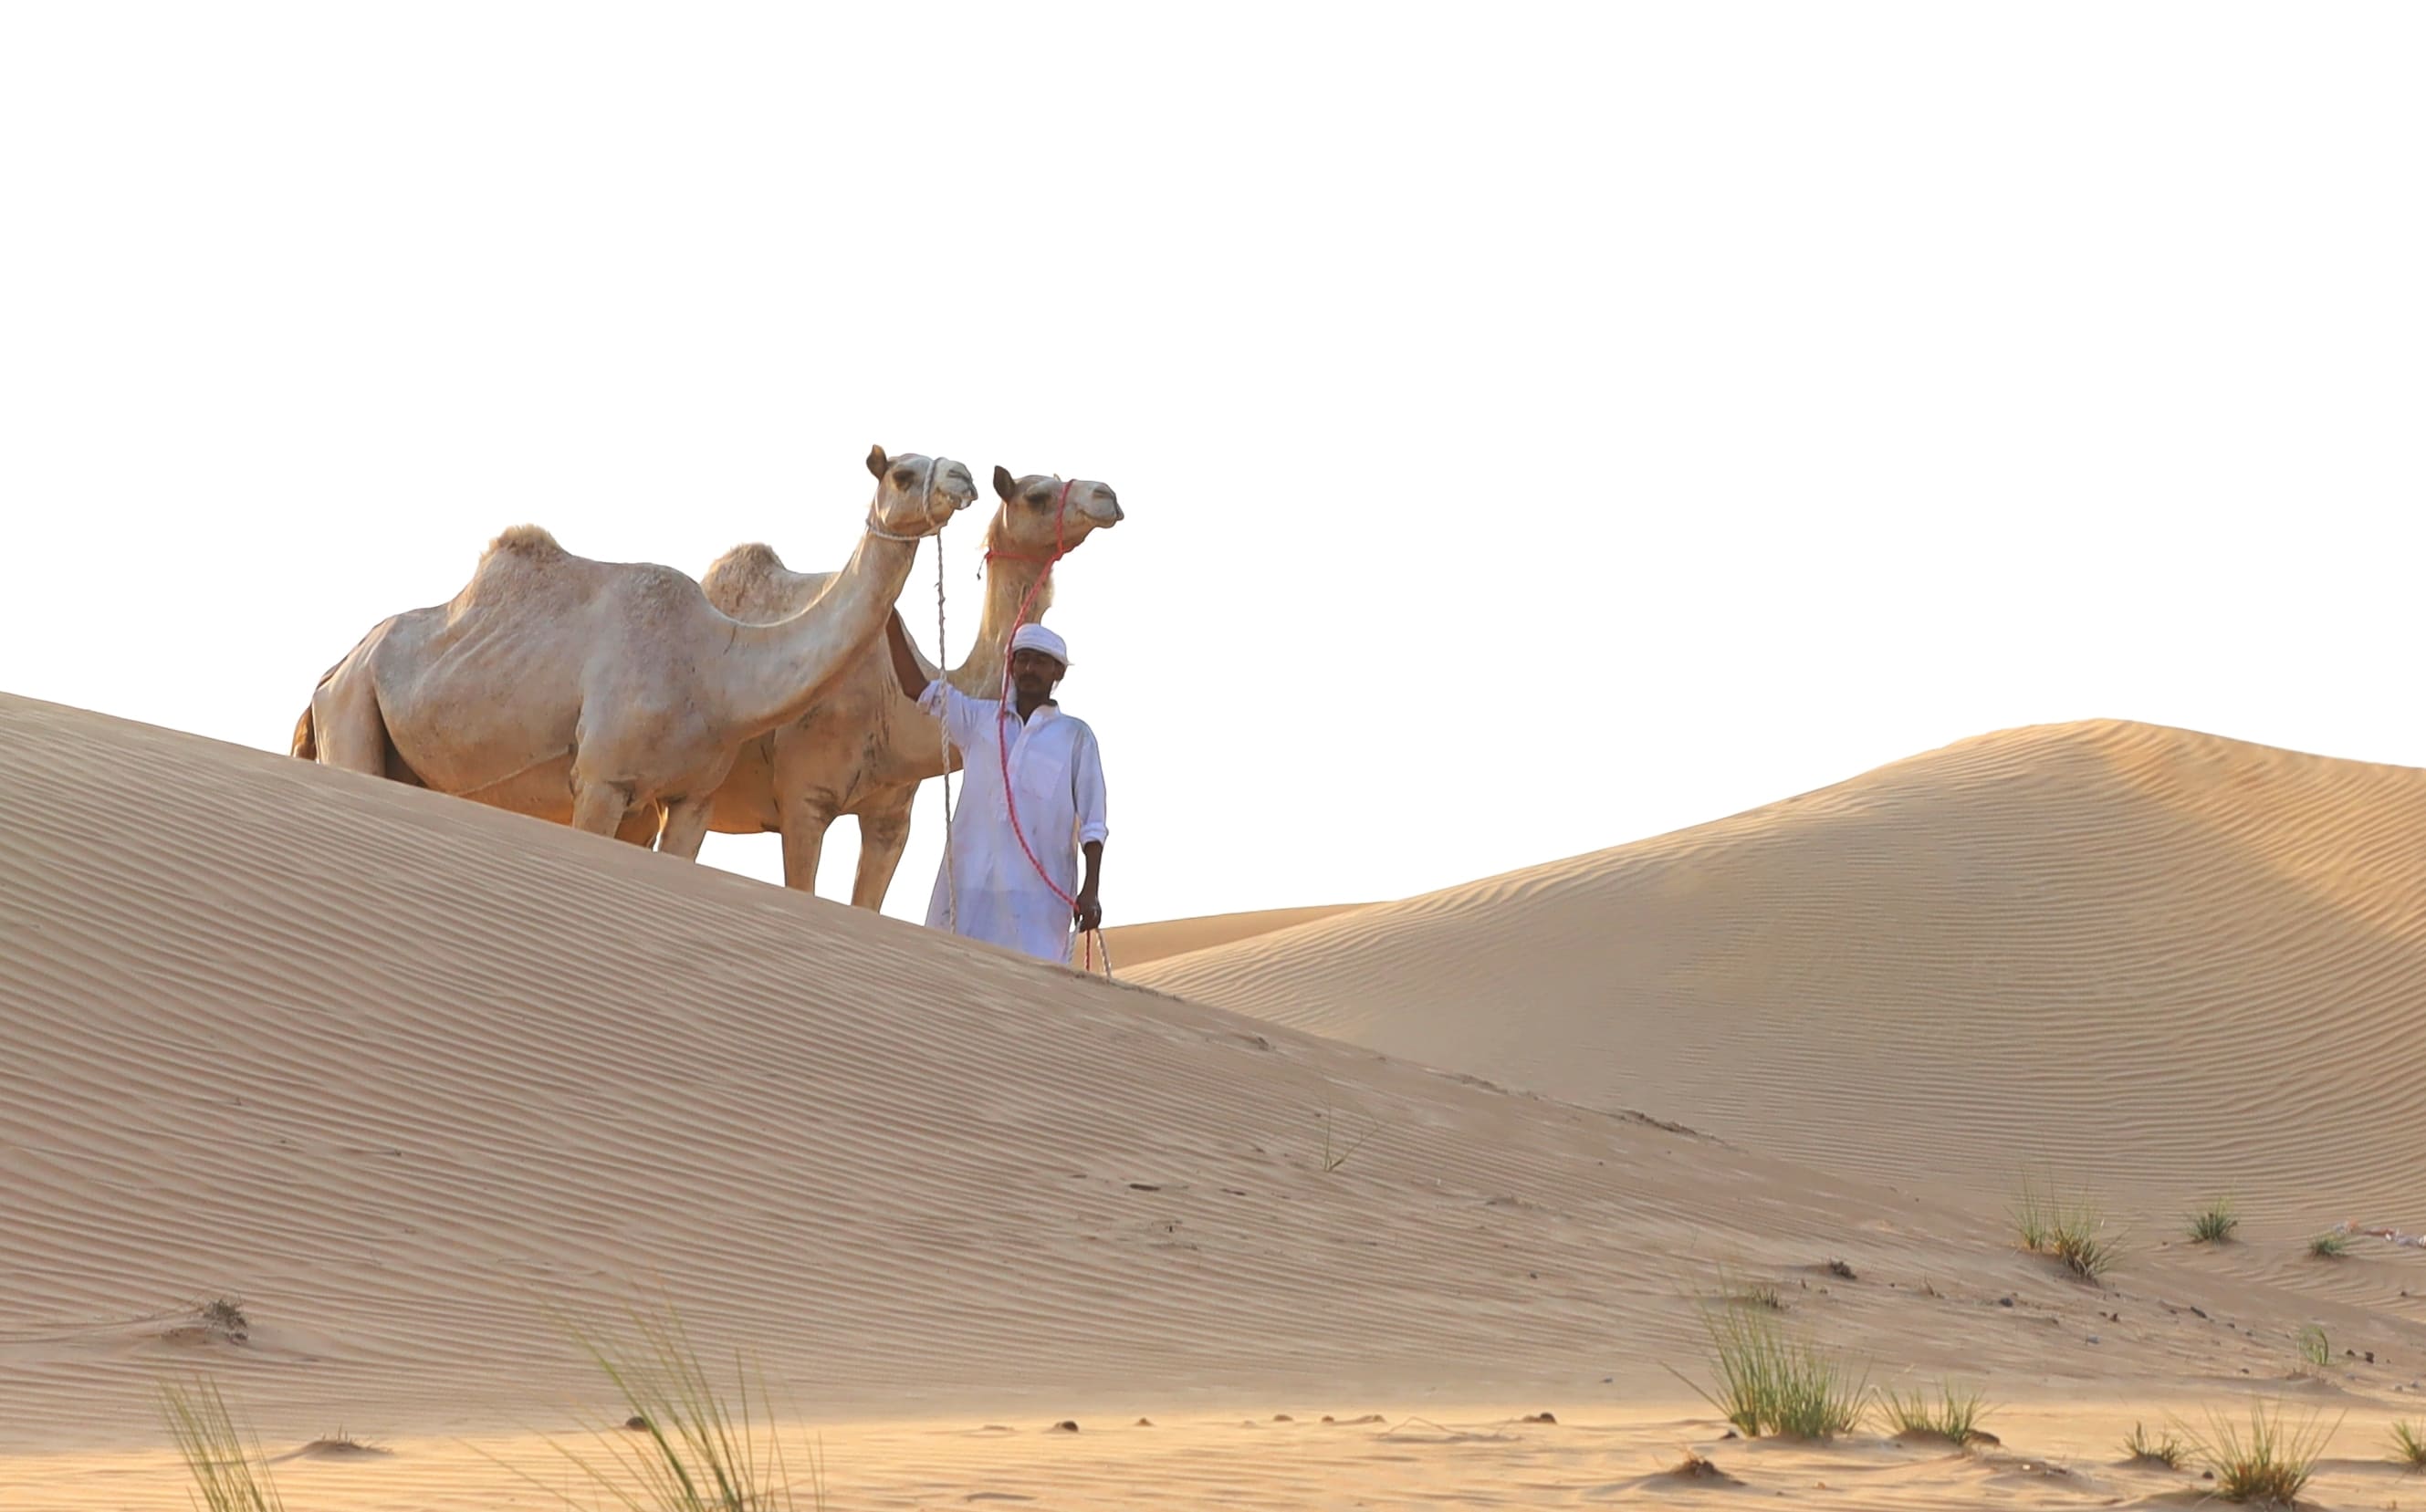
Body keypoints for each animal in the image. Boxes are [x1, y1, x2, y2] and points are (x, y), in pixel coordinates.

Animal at [291, 446, 977, 856]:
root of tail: (332, 670)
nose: (965, 477)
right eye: (903, 472)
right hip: (352, 709)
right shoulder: (600, 780)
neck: (719, 672)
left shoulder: (692, 799)